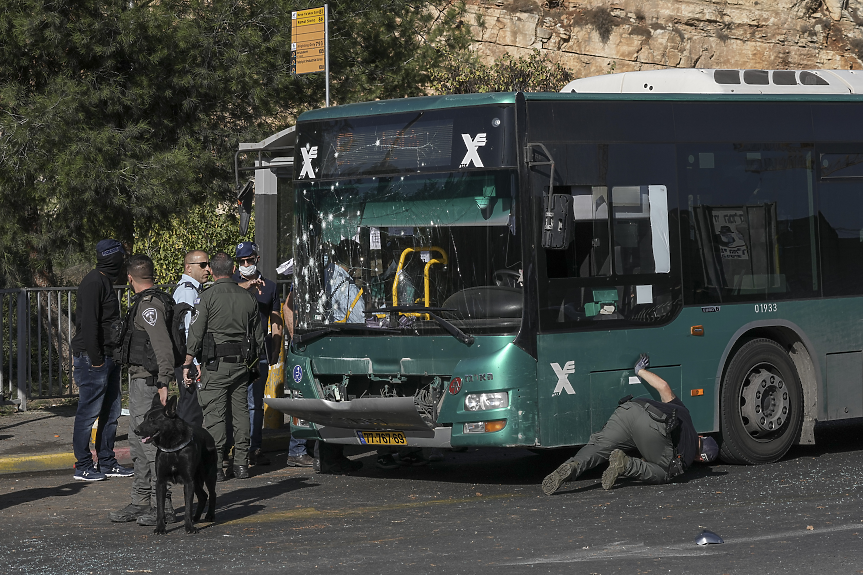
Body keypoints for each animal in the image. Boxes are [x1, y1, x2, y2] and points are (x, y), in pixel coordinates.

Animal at [134, 396, 219, 536]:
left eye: (152, 419)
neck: (172, 448)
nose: (136, 431)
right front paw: (160, 528)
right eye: (144, 418)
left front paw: (189, 527)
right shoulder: (161, 482)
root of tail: (207, 433)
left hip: (208, 475)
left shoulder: (188, 482)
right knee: (203, 496)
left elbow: (188, 508)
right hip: (196, 481)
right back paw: (196, 517)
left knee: (212, 494)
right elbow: (160, 509)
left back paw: (210, 516)